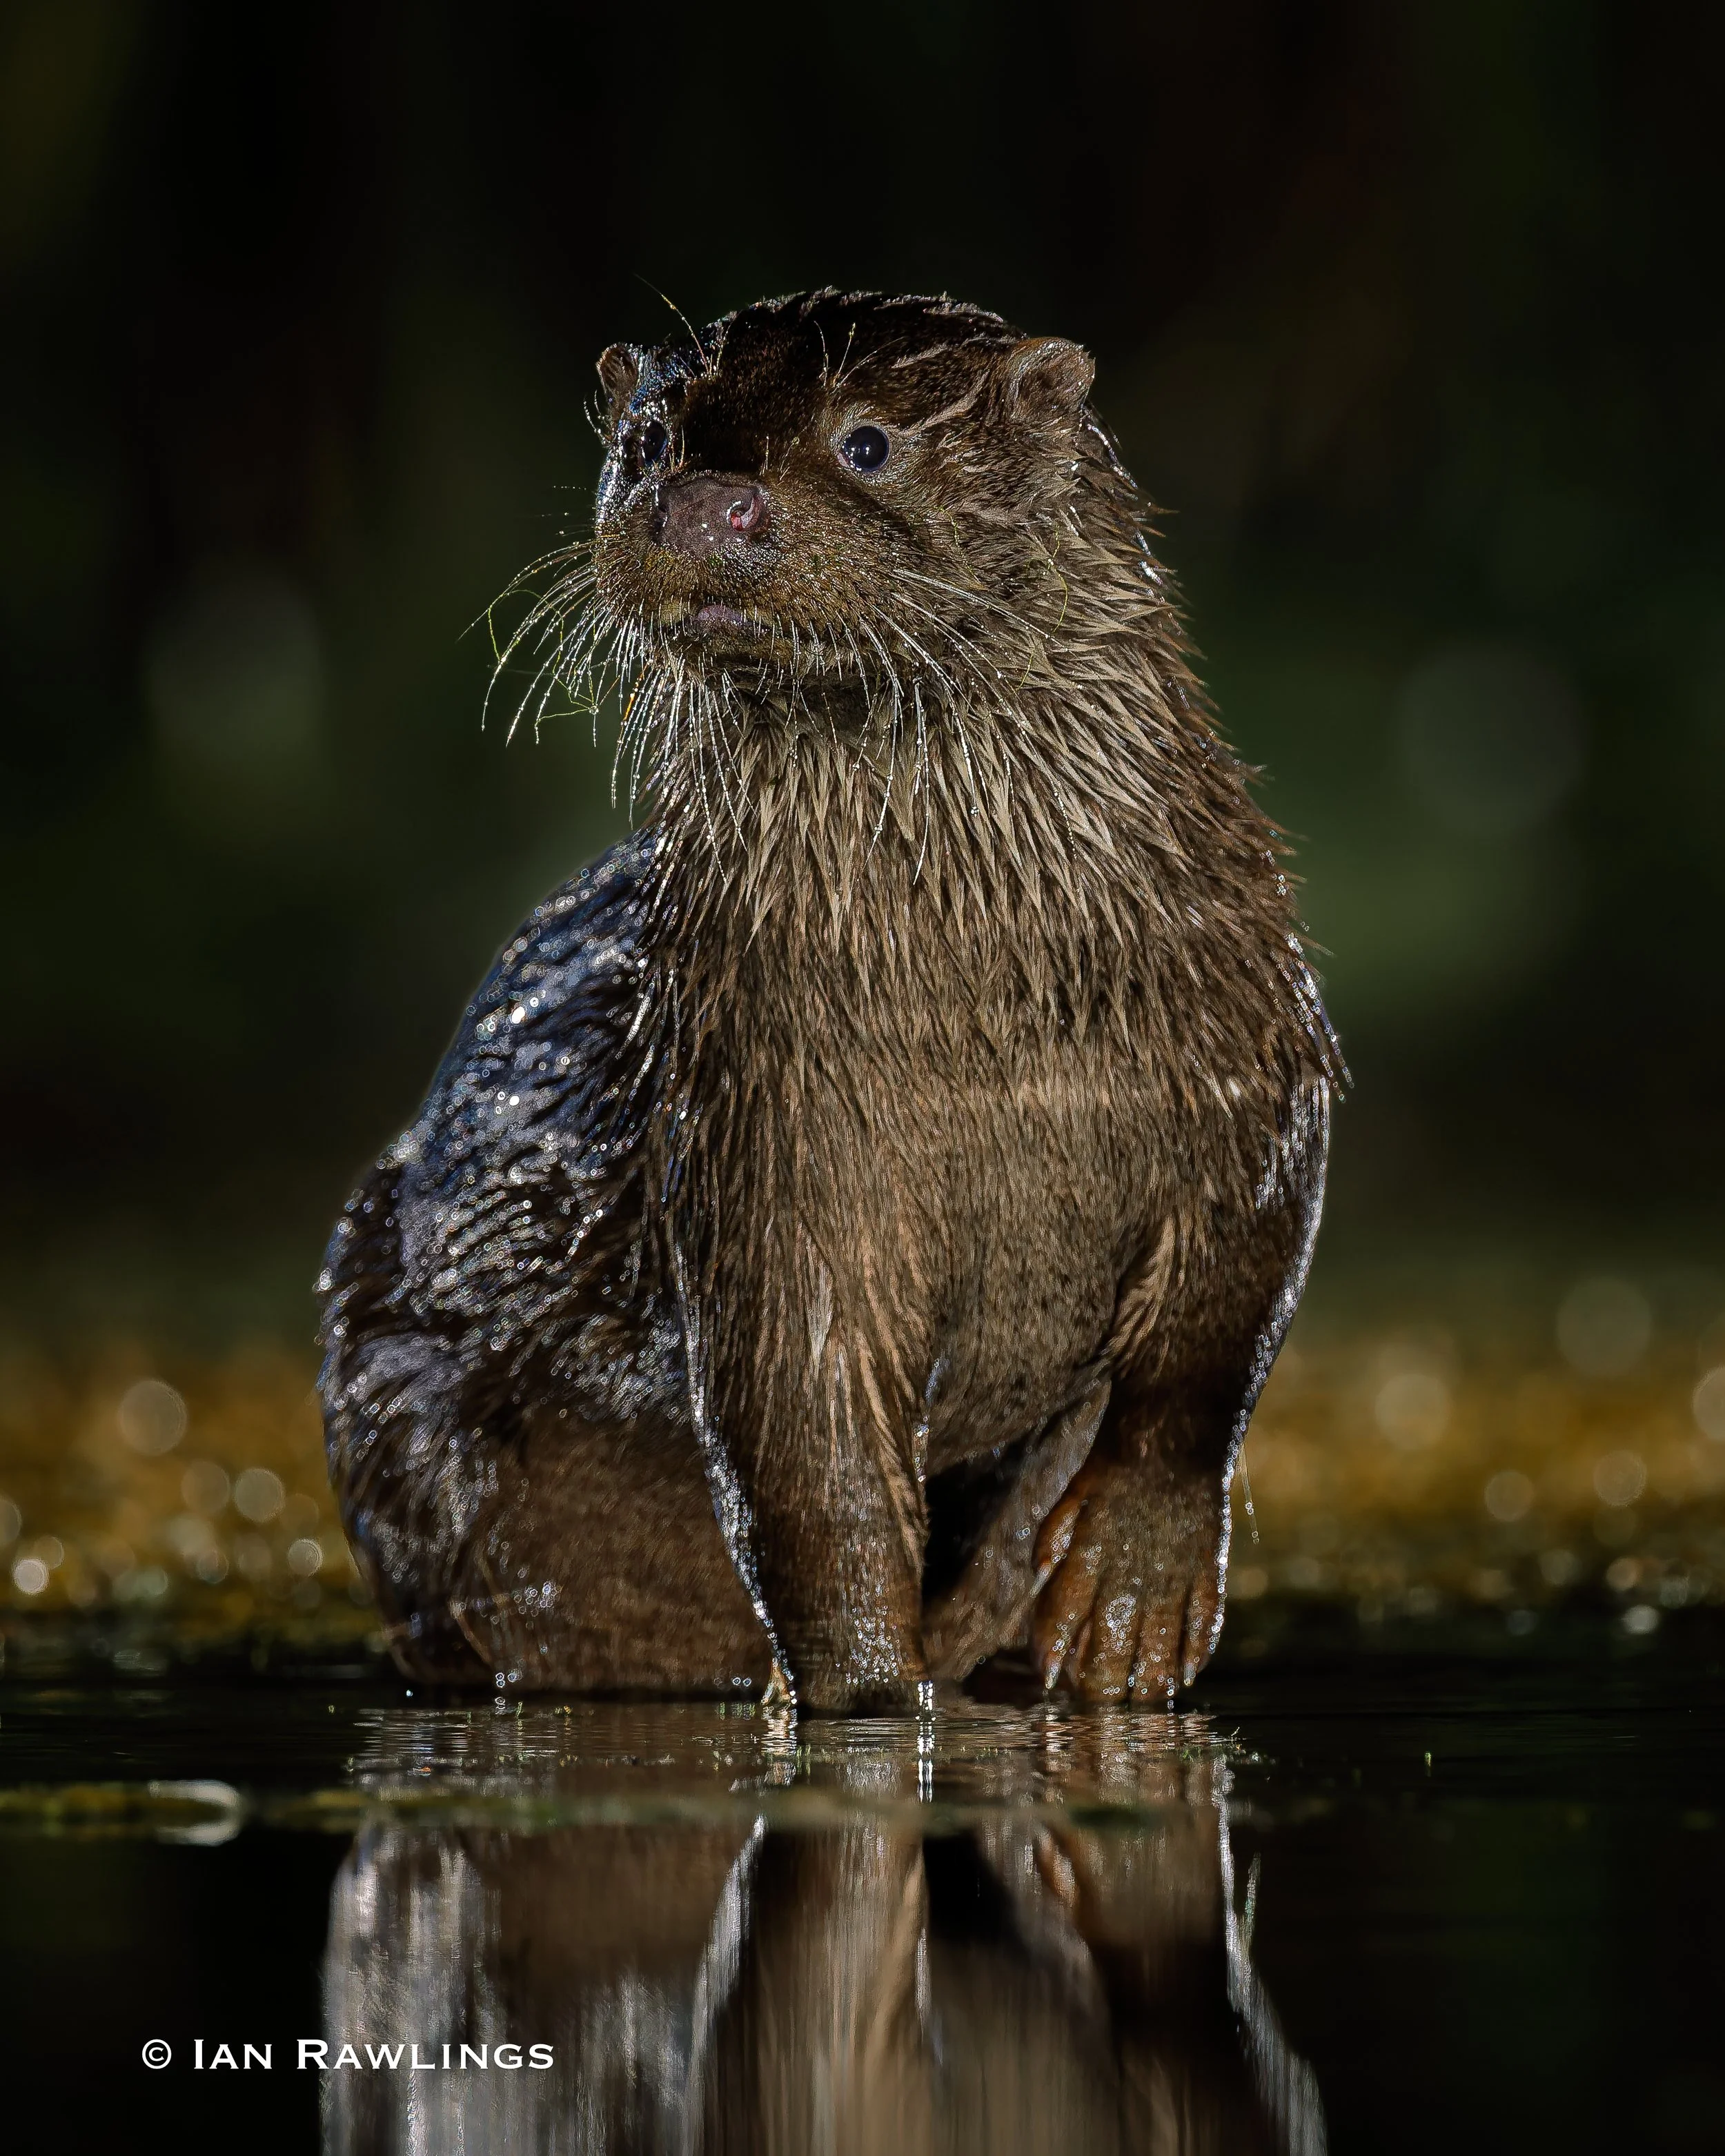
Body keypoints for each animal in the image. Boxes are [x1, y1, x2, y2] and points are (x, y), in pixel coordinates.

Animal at [317, 291, 1340, 1711]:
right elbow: (807, 1447)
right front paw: (864, 1693)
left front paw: (1133, 1597)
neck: (990, 1026)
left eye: (866, 442)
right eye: (647, 438)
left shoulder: (1248, 1039)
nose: (705, 501)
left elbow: (1219, 1328)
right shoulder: (756, 1137)